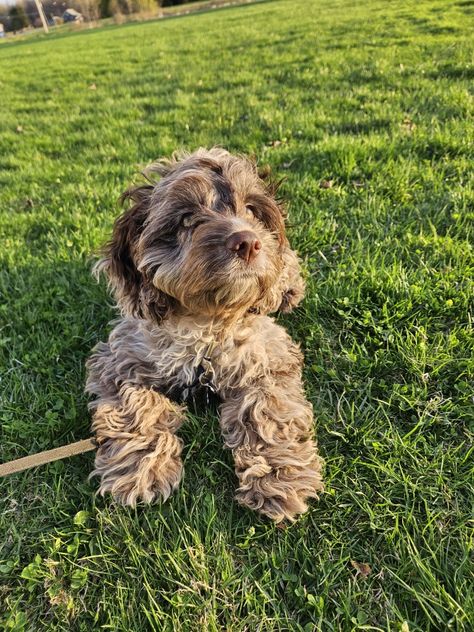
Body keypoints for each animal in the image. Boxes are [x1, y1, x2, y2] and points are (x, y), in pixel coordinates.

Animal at [85, 148, 324, 524]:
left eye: (251, 210)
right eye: (186, 220)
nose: (248, 242)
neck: (207, 323)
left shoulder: (269, 358)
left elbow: (268, 412)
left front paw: (280, 478)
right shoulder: (118, 360)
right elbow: (137, 405)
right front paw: (142, 468)